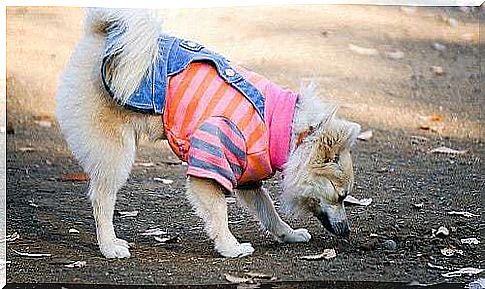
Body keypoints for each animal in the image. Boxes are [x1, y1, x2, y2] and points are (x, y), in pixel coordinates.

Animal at [55, 7, 360, 258]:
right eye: (341, 196)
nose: (347, 231)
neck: (286, 131)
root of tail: (99, 34)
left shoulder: (248, 177)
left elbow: (268, 211)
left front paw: (289, 234)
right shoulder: (210, 165)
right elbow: (219, 214)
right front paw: (230, 247)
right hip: (116, 154)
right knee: (101, 199)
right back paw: (109, 246)